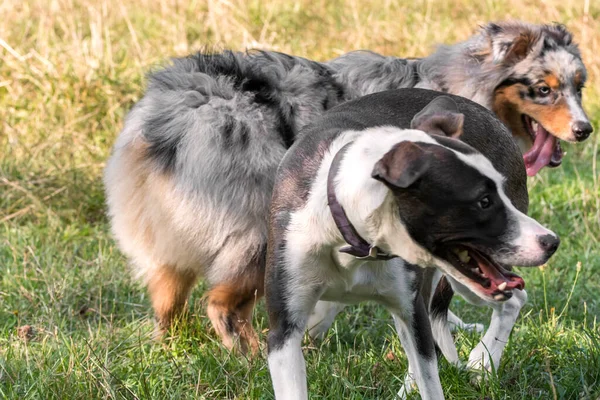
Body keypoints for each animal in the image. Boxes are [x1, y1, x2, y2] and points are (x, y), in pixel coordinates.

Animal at [264, 89, 560, 398]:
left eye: (498, 193)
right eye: (484, 201)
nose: (551, 242)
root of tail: (488, 114)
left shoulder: (412, 311)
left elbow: (429, 375)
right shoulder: (284, 333)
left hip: (468, 284)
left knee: (514, 299)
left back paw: (482, 362)